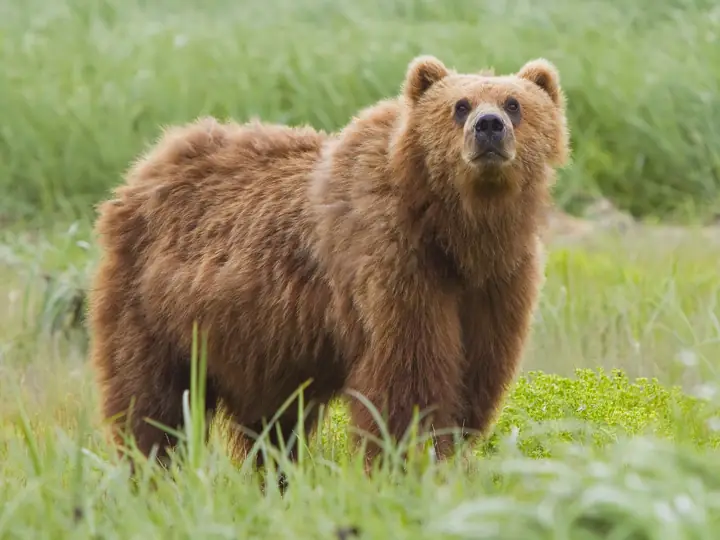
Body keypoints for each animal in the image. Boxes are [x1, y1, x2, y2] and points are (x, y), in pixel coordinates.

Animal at [87, 54, 570, 472]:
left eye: (514, 103)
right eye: (460, 105)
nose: (489, 127)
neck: (456, 233)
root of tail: (146, 166)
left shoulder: (497, 284)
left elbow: (475, 376)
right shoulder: (394, 264)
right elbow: (406, 378)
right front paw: (405, 461)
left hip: (260, 345)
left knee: (272, 425)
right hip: (154, 308)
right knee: (152, 404)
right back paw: (152, 472)